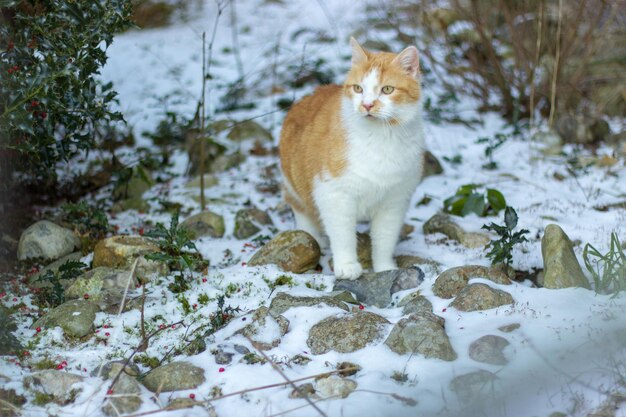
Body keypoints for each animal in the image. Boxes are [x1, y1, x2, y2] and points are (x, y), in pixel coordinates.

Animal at [280, 39, 422, 280]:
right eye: (358, 88)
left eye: (387, 89)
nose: (367, 105)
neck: (381, 139)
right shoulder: (334, 194)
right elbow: (342, 234)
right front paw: (347, 265)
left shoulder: (394, 201)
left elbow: (384, 238)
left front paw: (384, 267)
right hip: (294, 183)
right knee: (302, 212)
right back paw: (312, 238)